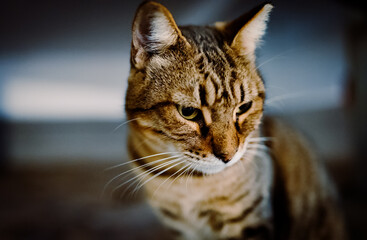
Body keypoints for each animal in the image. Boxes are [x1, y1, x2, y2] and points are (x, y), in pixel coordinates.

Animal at [124, 0, 348, 239]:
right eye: (188, 112)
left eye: (244, 107)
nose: (228, 157)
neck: (187, 183)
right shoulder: (179, 229)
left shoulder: (251, 223)